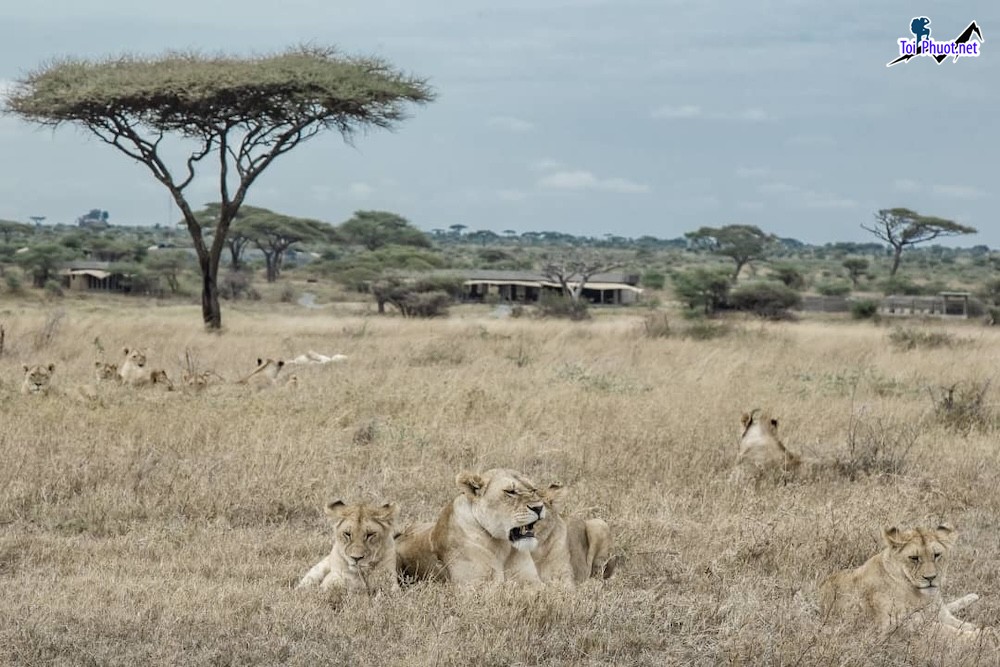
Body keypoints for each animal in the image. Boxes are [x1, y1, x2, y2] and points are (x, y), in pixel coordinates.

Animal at [820, 524, 984, 640]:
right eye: (914, 558)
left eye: (937, 555)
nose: (931, 578)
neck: (922, 596)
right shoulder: (896, 625)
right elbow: (947, 631)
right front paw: (984, 635)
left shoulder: (940, 614)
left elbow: (962, 624)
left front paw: (978, 628)